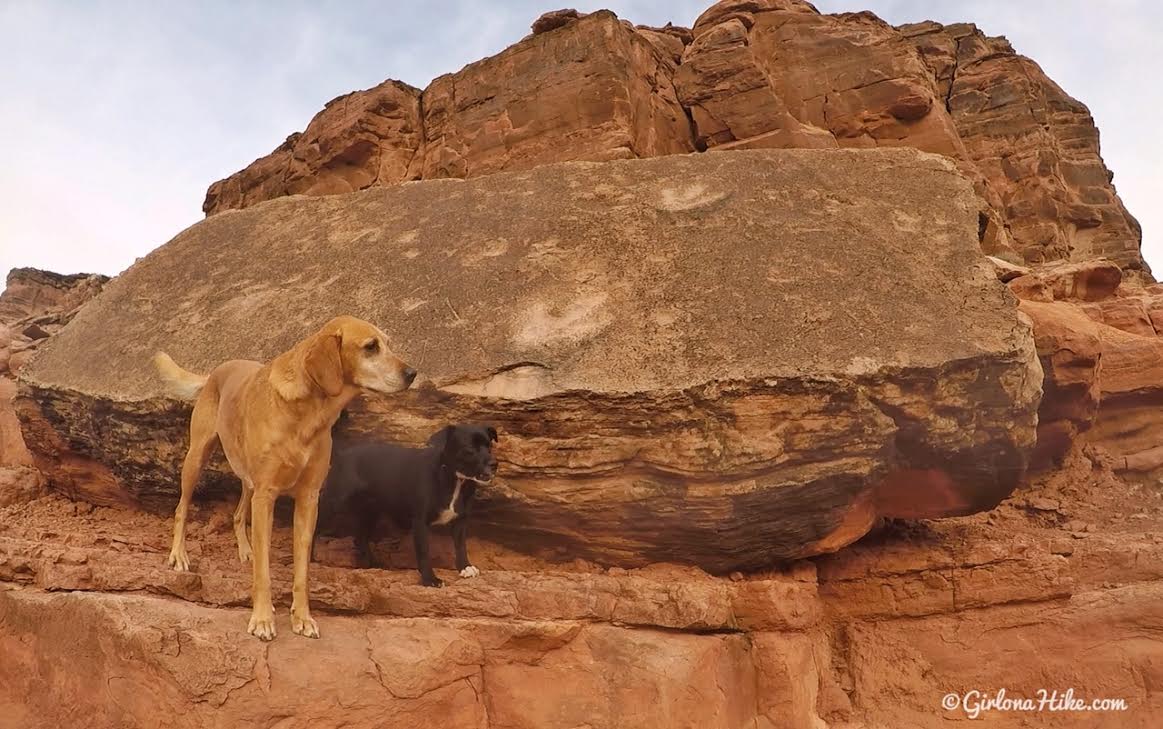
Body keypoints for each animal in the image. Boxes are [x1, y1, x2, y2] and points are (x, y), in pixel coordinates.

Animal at [150, 316, 414, 641]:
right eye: (371, 346)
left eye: (388, 342)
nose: (412, 374)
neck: (308, 414)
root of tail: (217, 370)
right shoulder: (267, 495)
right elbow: (264, 573)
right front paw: (263, 619)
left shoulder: (308, 499)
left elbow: (302, 569)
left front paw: (303, 618)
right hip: (197, 459)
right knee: (181, 508)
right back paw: (179, 555)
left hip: (248, 481)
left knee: (238, 514)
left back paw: (246, 550)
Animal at [316, 423, 497, 588]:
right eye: (469, 449)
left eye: (489, 446)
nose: (494, 464)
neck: (454, 479)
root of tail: (342, 454)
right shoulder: (420, 522)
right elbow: (424, 552)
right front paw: (430, 579)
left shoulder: (460, 520)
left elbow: (460, 546)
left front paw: (465, 567)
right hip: (333, 503)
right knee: (313, 530)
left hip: (370, 512)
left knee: (360, 538)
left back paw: (372, 564)